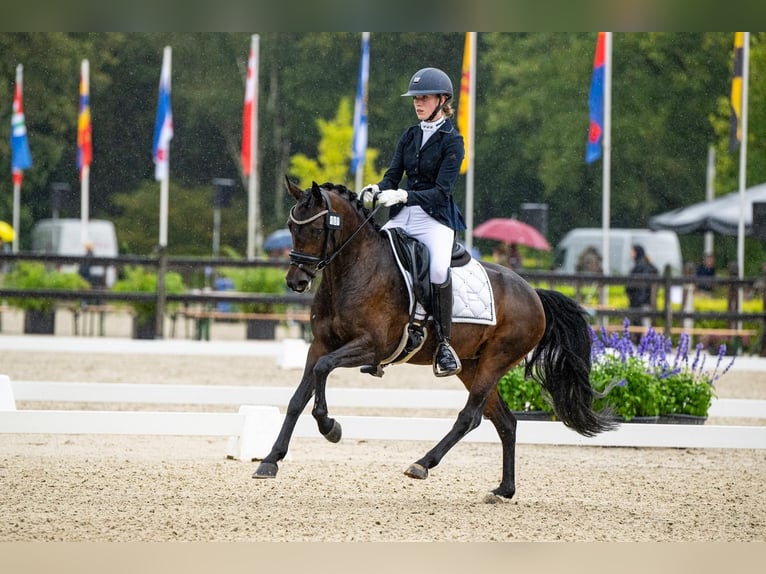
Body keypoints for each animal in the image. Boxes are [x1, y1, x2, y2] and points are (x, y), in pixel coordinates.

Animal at [254, 180, 616, 500]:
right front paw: (270, 461)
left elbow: (323, 371)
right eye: (291, 226)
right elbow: (297, 399)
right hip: (471, 365)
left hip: (495, 361)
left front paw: (331, 427)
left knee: (471, 417)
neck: (354, 269)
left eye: (317, 230)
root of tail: (533, 293)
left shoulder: (371, 346)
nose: (296, 281)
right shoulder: (319, 345)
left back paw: (422, 464)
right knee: (506, 422)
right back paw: (503, 490)